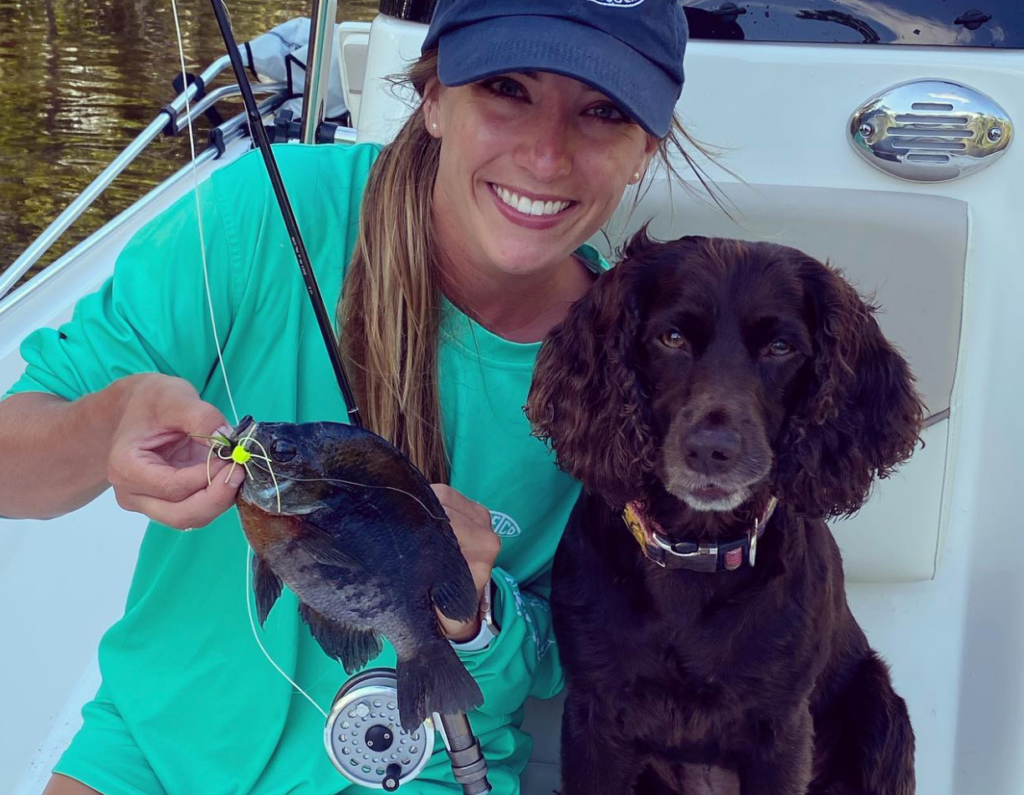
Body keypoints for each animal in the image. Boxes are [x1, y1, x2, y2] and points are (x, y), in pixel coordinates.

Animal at [528, 231, 921, 795]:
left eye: (781, 348)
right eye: (671, 338)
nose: (712, 449)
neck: (694, 549)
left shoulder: (780, 727)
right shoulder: (594, 717)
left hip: (882, 711)